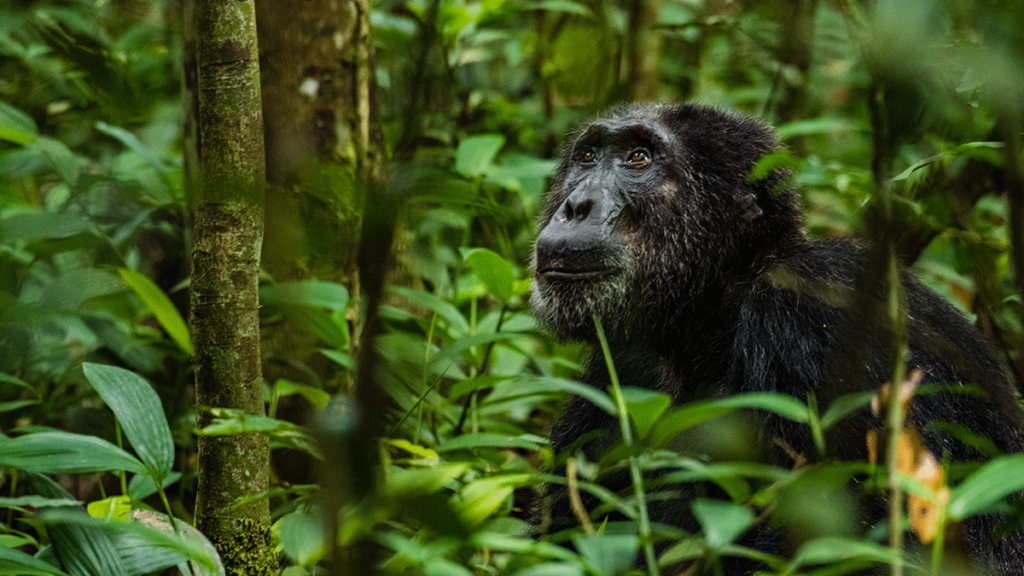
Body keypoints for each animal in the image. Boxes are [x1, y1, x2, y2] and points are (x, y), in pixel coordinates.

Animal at [530, 103, 1024, 575]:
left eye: (638, 158)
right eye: (588, 156)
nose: (576, 206)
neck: (714, 311)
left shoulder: (814, 314)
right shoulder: (617, 374)